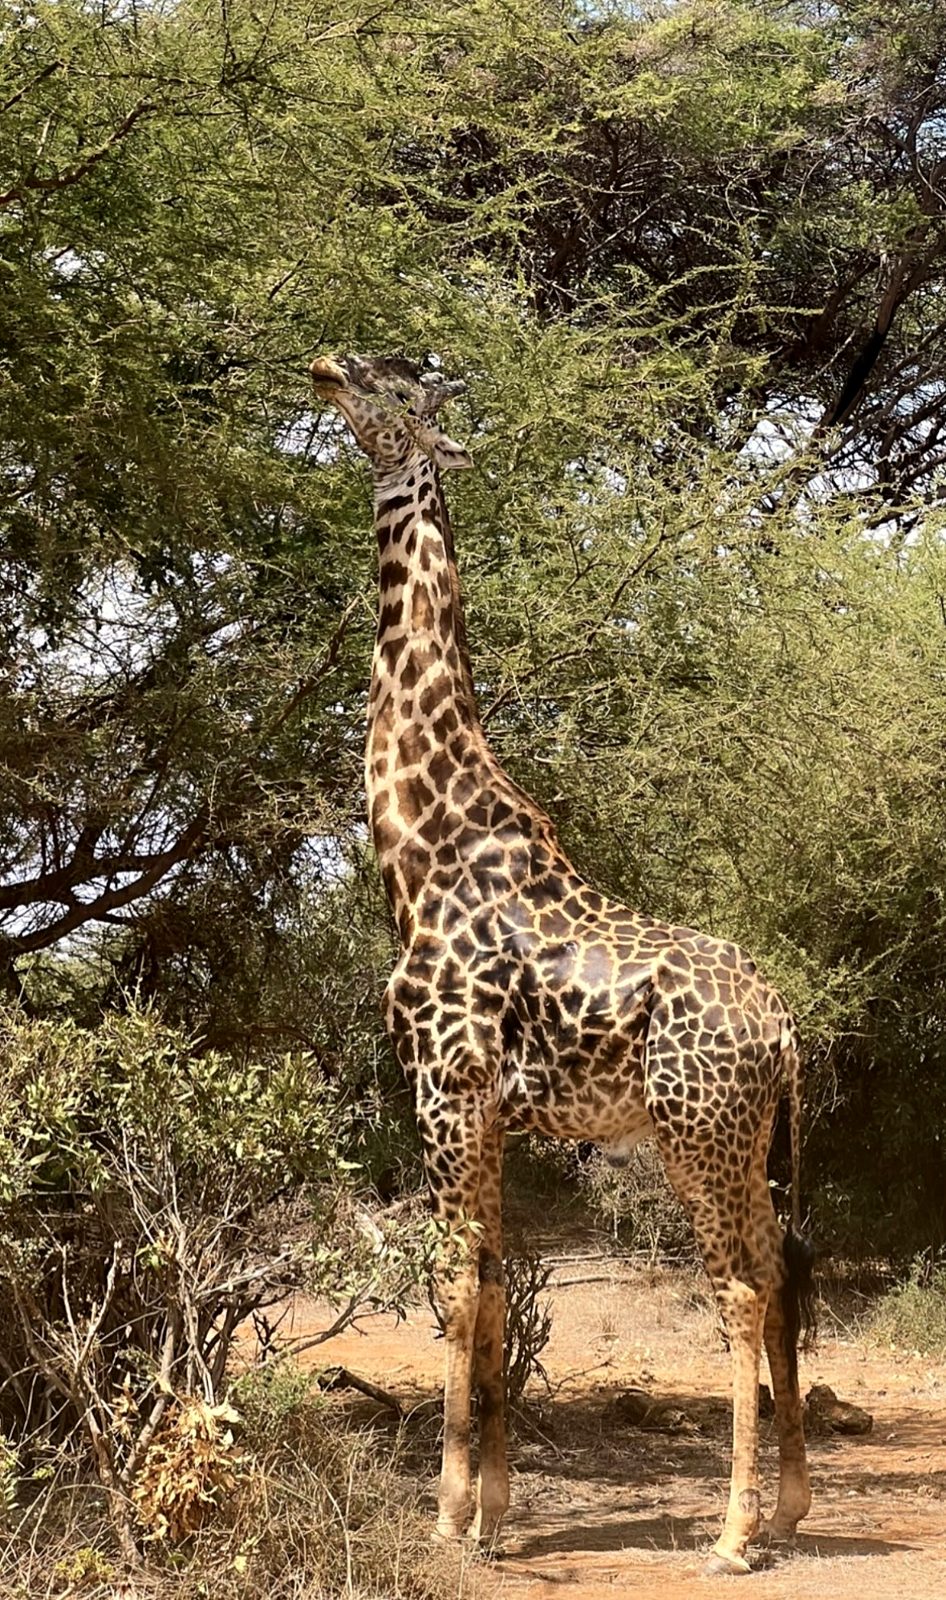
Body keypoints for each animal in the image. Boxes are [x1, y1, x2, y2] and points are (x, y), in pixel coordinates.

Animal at [310, 351, 815, 1575]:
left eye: (396, 390)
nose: (327, 363)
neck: (418, 841)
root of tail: (785, 1032)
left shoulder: (443, 1085)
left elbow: (454, 1285)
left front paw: (448, 1517)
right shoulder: (489, 1107)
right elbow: (495, 1287)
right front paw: (495, 1514)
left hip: (695, 1134)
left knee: (740, 1289)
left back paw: (732, 1535)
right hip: (748, 1143)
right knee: (779, 1275)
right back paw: (786, 1510)